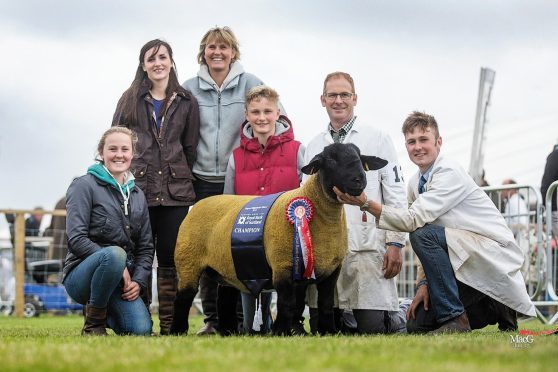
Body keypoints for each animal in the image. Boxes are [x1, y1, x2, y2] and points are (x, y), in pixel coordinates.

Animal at [173, 142, 388, 334]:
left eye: (360, 158)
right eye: (331, 160)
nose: (359, 180)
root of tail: (199, 204)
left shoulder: (331, 270)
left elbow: (325, 303)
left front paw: (328, 331)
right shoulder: (282, 266)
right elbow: (287, 303)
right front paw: (281, 332)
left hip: (225, 266)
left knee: (224, 299)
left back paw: (227, 332)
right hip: (188, 261)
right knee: (184, 297)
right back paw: (177, 331)